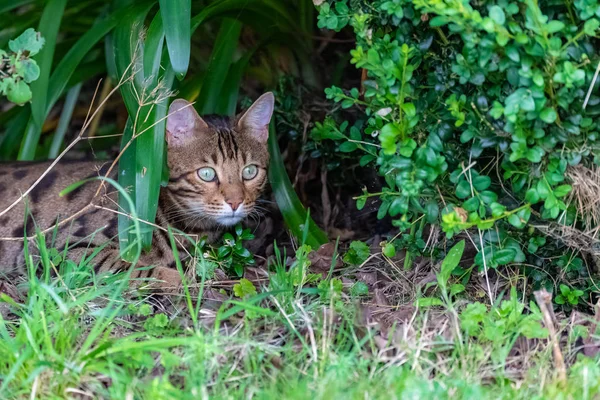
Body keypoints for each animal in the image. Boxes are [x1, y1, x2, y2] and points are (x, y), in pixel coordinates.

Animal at [0, 92, 274, 290]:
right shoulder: (58, 249)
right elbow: (133, 268)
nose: (236, 202)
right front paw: (187, 280)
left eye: (250, 171)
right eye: (206, 174)